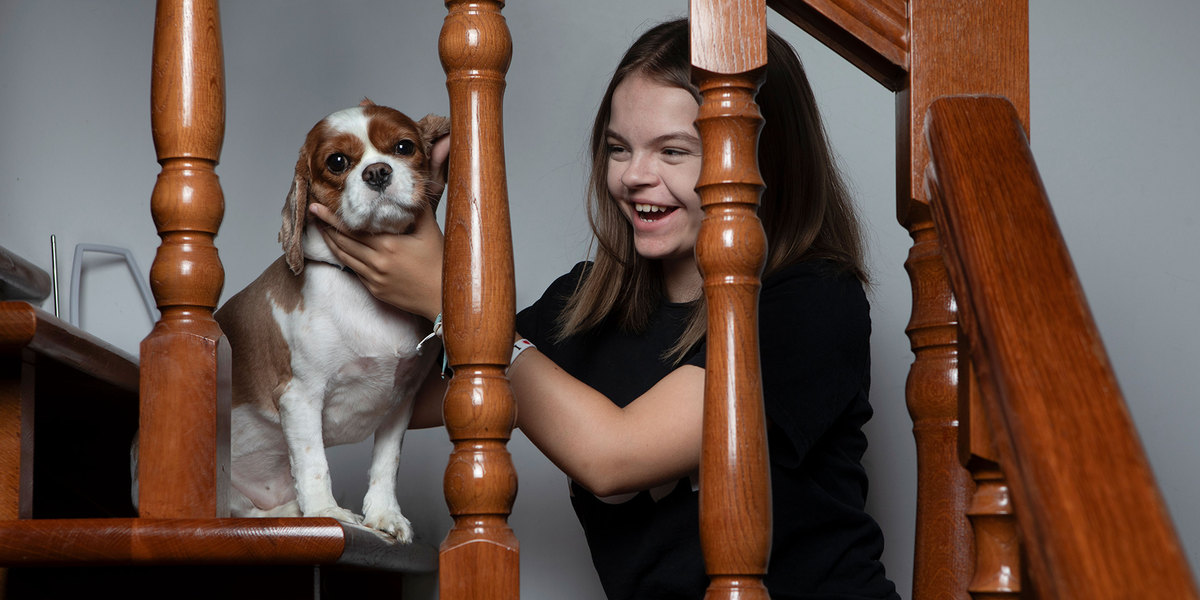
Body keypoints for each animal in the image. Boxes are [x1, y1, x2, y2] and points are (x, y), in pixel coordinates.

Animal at [213, 100, 448, 542]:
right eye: (337, 162)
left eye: (404, 146)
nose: (377, 172)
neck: (358, 288)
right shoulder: (300, 395)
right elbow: (313, 464)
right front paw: (327, 512)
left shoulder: (401, 402)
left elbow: (386, 463)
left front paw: (384, 514)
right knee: (238, 512)